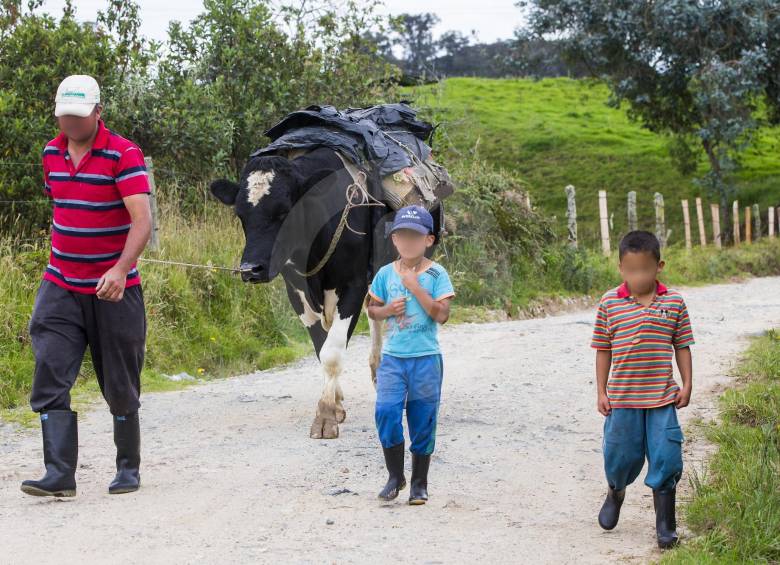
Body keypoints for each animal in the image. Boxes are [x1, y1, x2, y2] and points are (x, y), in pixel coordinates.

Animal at [209, 148, 438, 438]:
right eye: (241, 214)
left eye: (284, 211)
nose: (251, 269)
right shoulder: (297, 293)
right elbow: (322, 349)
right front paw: (336, 404)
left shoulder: (352, 287)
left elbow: (332, 353)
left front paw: (326, 415)